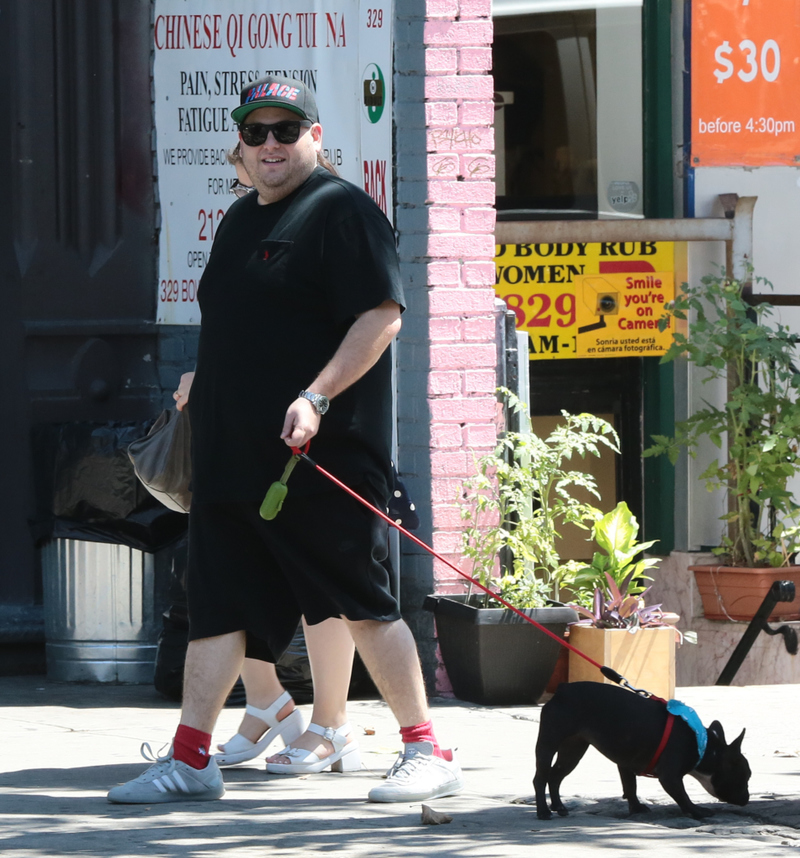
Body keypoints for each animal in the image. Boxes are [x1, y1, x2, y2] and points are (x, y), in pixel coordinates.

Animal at [536, 684, 752, 816]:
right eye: (746, 776)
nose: (748, 798)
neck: (705, 747)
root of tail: (562, 691)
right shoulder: (670, 777)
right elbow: (682, 795)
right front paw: (696, 811)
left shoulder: (626, 763)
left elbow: (630, 786)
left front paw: (636, 807)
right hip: (548, 744)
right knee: (540, 778)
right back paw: (543, 812)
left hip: (573, 751)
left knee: (555, 776)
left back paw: (558, 806)